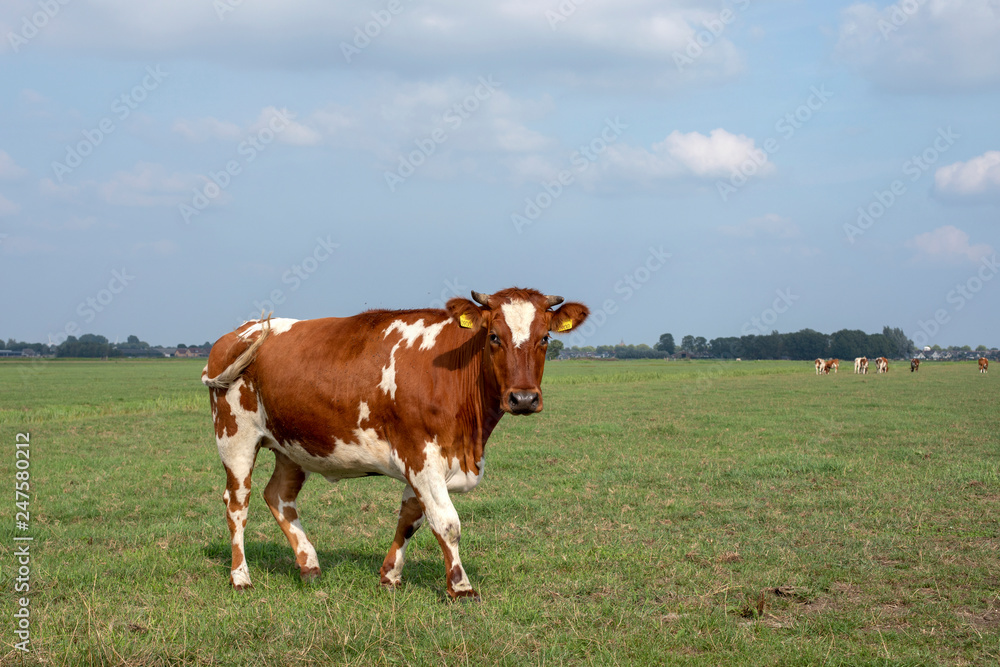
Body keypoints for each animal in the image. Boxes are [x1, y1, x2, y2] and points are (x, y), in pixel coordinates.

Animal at [203, 288, 588, 600]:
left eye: (545, 338)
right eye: (494, 336)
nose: (523, 399)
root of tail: (238, 333)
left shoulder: (422, 463)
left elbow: (410, 519)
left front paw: (390, 576)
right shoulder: (421, 455)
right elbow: (446, 522)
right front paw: (460, 586)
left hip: (293, 445)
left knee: (279, 496)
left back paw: (309, 565)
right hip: (235, 436)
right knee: (237, 505)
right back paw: (241, 577)